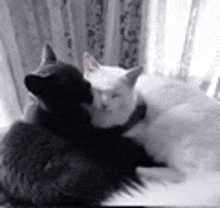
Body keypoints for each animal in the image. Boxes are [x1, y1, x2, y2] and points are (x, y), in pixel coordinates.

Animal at [0, 44, 155, 206]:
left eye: (80, 74)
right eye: (72, 83)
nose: (88, 84)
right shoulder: (95, 133)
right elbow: (121, 125)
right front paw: (140, 108)